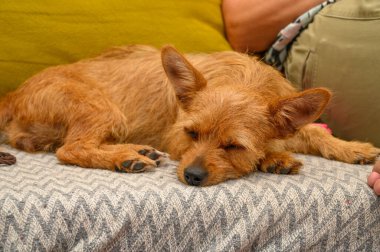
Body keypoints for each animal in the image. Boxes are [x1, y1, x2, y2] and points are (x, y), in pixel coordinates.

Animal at [0, 46, 378, 186]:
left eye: (233, 146)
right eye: (191, 134)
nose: (192, 176)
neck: (244, 79)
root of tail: (13, 95)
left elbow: (313, 131)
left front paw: (353, 148)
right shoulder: (174, 138)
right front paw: (274, 158)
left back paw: (137, 151)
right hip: (102, 109)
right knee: (71, 148)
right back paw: (127, 157)